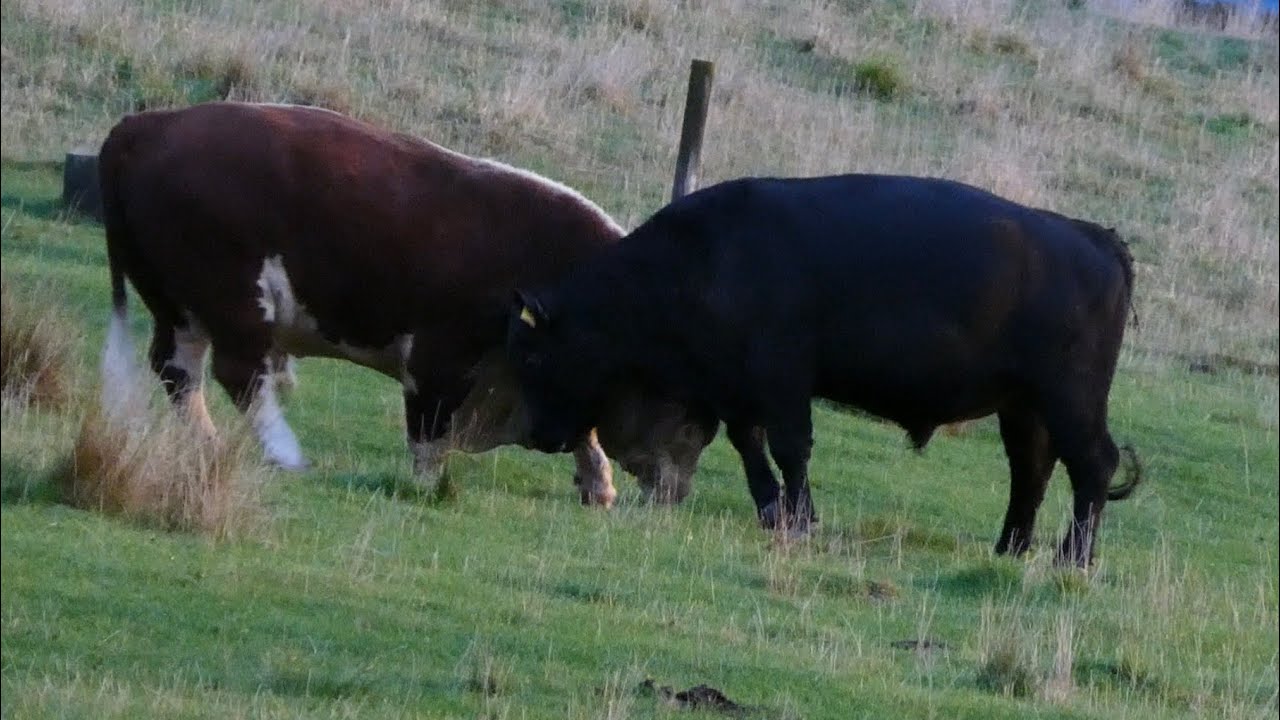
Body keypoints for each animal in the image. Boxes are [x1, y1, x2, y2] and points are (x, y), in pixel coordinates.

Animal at [96, 101, 712, 505]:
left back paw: (205, 442)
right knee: (239, 372)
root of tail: (147, 123)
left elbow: (583, 430)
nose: (676, 490)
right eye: (682, 411)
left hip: (180, 306)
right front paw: (428, 484)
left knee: (179, 369)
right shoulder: (442, 357)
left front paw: (597, 484)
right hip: (233, 298)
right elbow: (429, 431)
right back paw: (284, 453)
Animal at [507, 174, 1141, 567]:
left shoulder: (783, 381)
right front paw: (772, 511)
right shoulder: (738, 389)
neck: (707, 256)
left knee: (1093, 465)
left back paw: (1073, 559)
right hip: (1024, 407)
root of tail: (1095, 237)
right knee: (1031, 472)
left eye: (535, 356)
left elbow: (791, 448)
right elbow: (751, 447)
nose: (539, 435)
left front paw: (801, 518)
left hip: (1070, 401)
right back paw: (1010, 549)